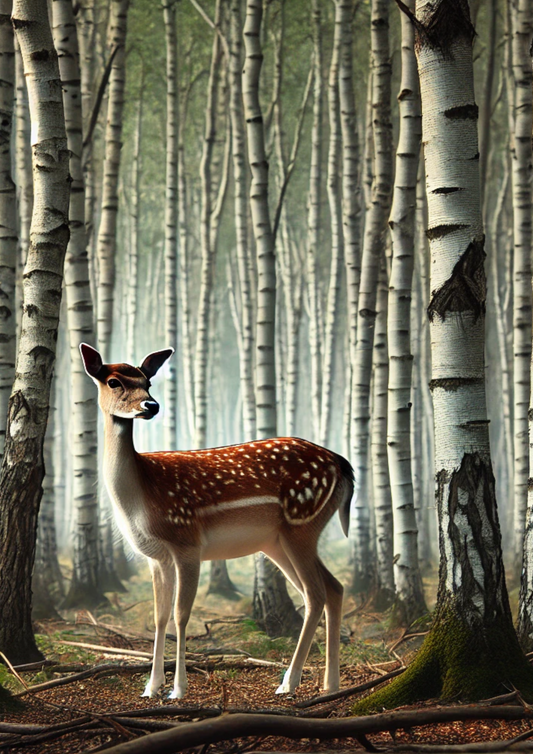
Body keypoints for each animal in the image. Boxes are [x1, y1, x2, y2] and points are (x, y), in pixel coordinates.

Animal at [80, 343, 354, 699]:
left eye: (147, 382)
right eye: (113, 382)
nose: (151, 405)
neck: (141, 498)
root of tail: (342, 465)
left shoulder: (187, 542)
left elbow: (181, 615)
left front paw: (178, 689)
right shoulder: (156, 557)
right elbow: (159, 616)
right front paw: (151, 687)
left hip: (301, 524)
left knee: (316, 593)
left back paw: (288, 682)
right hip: (279, 541)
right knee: (333, 587)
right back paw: (330, 685)